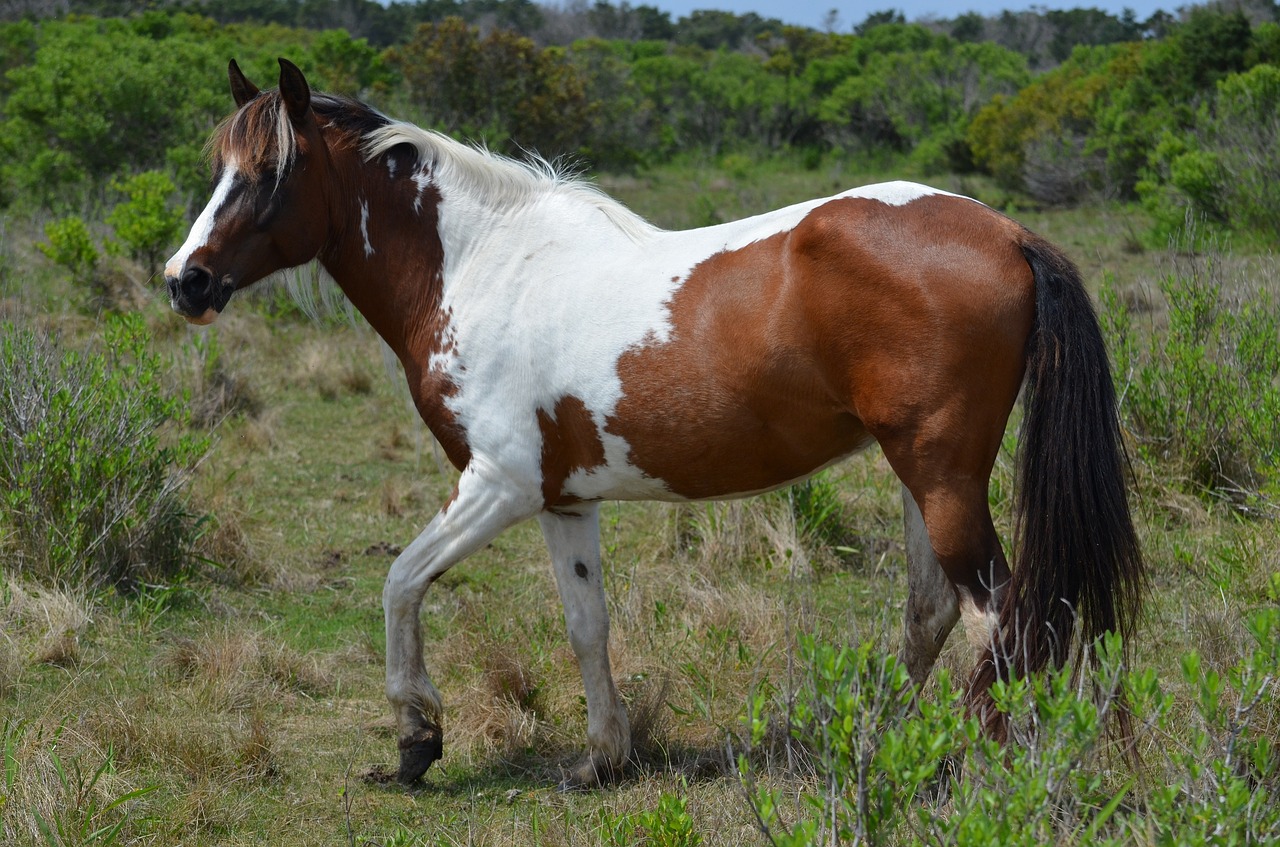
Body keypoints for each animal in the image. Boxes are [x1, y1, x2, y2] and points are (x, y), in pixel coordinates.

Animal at [165, 58, 1146, 788]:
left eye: (269, 172)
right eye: (220, 168)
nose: (185, 280)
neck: (483, 267)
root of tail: (1010, 233)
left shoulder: (497, 484)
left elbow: (400, 582)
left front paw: (416, 741)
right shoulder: (563, 501)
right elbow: (586, 624)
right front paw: (604, 757)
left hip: (939, 474)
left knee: (1002, 618)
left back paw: (983, 762)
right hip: (923, 473)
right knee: (937, 608)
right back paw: (884, 742)